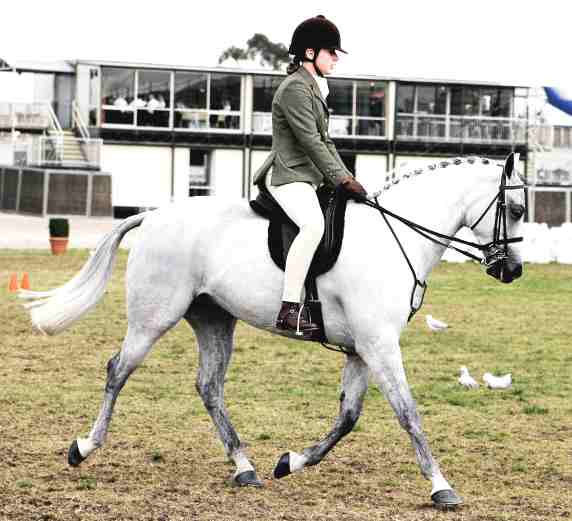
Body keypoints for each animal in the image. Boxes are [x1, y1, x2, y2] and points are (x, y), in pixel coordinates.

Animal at [21, 154, 528, 508]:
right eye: (519, 208)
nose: (513, 271)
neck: (394, 237)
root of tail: (153, 215)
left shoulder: (362, 350)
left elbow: (348, 418)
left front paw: (291, 462)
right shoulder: (380, 346)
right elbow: (409, 414)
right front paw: (442, 486)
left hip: (214, 320)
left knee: (209, 386)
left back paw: (245, 467)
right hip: (153, 319)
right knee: (117, 371)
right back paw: (84, 447)